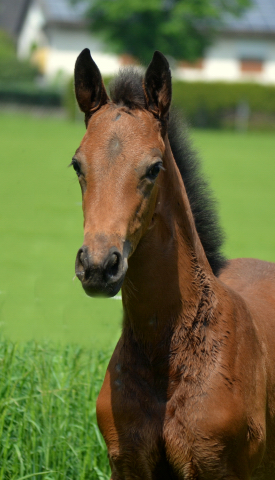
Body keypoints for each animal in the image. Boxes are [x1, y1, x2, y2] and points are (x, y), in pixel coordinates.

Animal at [71, 49, 275, 480]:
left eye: (154, 167)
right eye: (78, 165)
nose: (98, 266)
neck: (165, 357)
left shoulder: (217, 467)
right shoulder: (127, 463)